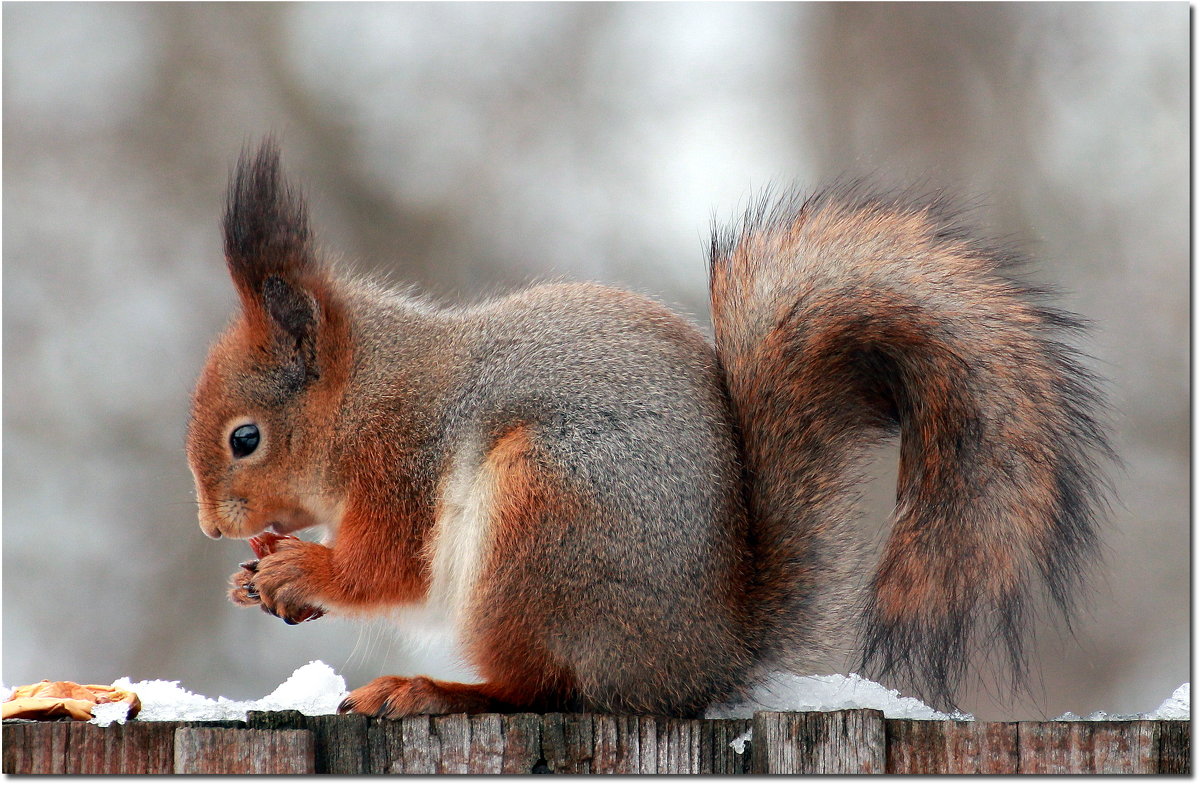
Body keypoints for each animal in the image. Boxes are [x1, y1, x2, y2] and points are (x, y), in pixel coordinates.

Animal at [182, 141, 1108, 720]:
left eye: (244, 438)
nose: (212, 527)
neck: (365, 394)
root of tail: (701, 658)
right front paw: (253, 580)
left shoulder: (402, 460)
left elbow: (386, 568)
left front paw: (300, 569)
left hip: (543, 522)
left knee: (543, 687)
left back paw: (430, 690)